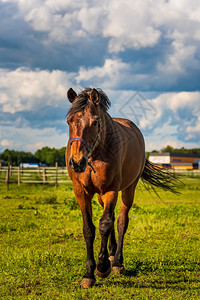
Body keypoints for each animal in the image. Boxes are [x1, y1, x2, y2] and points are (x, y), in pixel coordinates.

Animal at [65, 87, 177, 288]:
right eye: (69, 121)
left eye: (95, 122)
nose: (77, 162)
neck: (96, 154)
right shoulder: (81, 192)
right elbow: (89, 229)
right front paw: (89, 273)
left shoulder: (111, 189)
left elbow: (105, 224)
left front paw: (102, 268)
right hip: (101, 195)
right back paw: (111, 254)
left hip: (127, 190)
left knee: (121, 221)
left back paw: (116, 262)